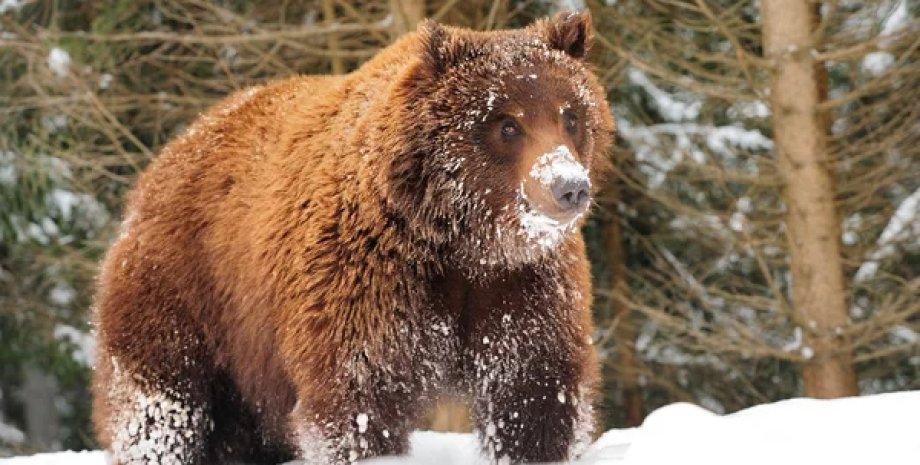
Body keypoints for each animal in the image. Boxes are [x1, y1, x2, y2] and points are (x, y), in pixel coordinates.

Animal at [91, 10, 612, 464]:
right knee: (160, 410)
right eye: (507, 123)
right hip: (186, 295)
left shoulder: (519, 290)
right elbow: (358, 402)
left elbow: (535, 396)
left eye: (570, 114)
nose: (568, 187)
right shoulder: (367, 284)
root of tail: (170, 153)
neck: (462, 240)